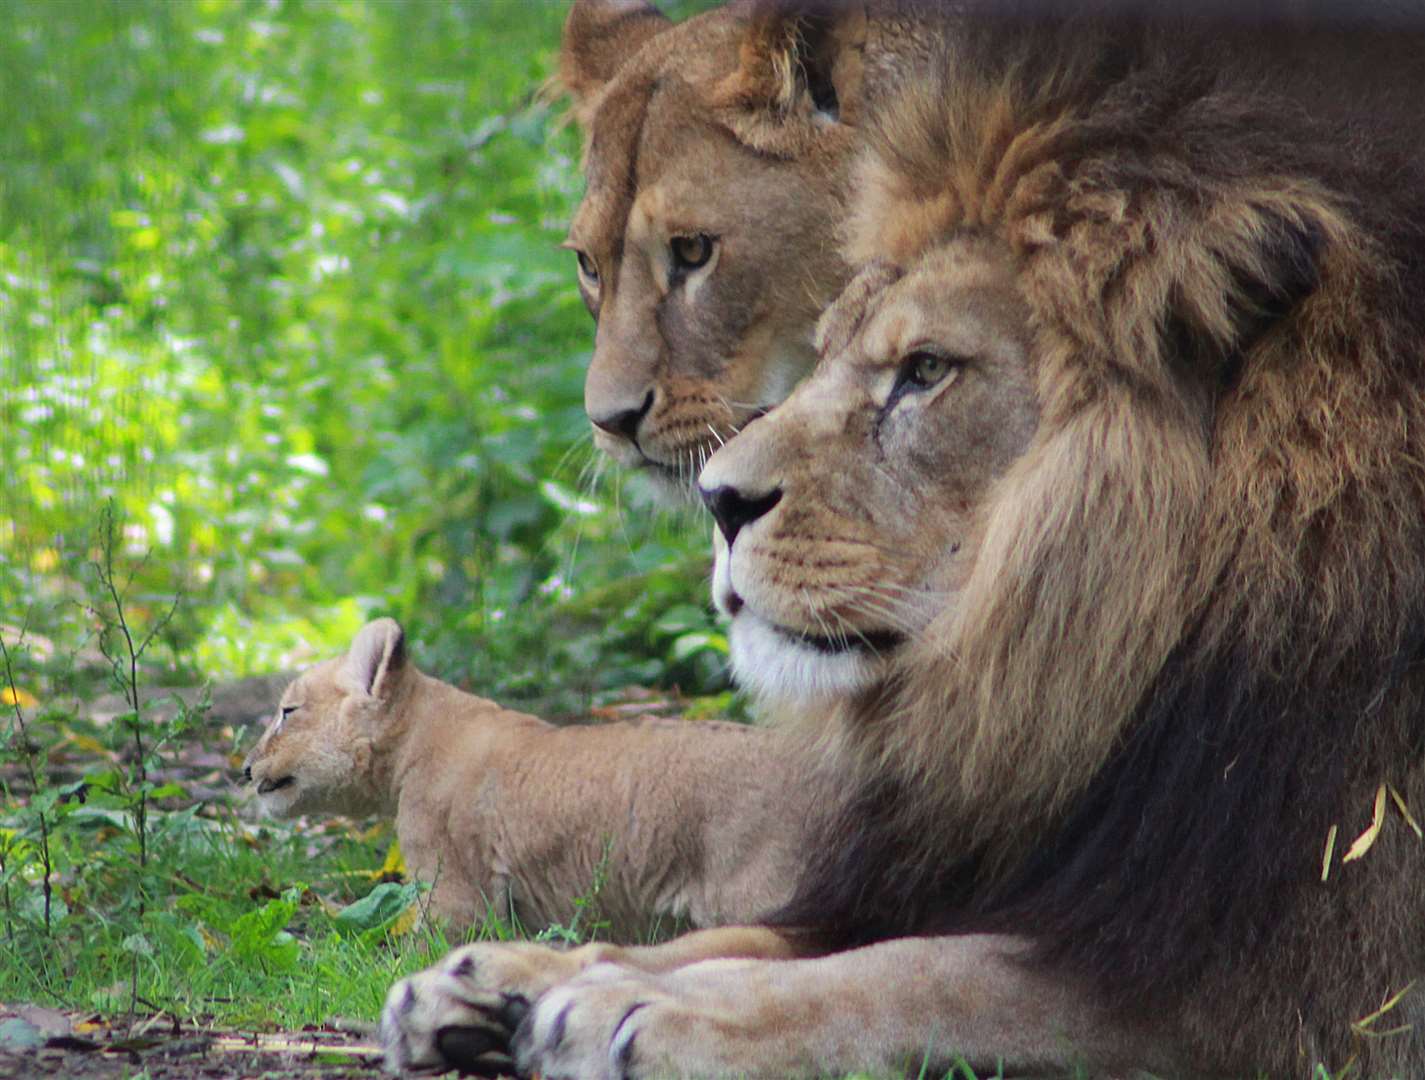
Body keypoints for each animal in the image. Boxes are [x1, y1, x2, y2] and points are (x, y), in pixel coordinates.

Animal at [384, 10, 1425, 1080]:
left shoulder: (1277, 989)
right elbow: (764, 935)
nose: (719, 500)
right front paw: (514, 976)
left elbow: (921, 974)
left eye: (925, 371)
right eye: (587, 265)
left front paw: (640, 1008)